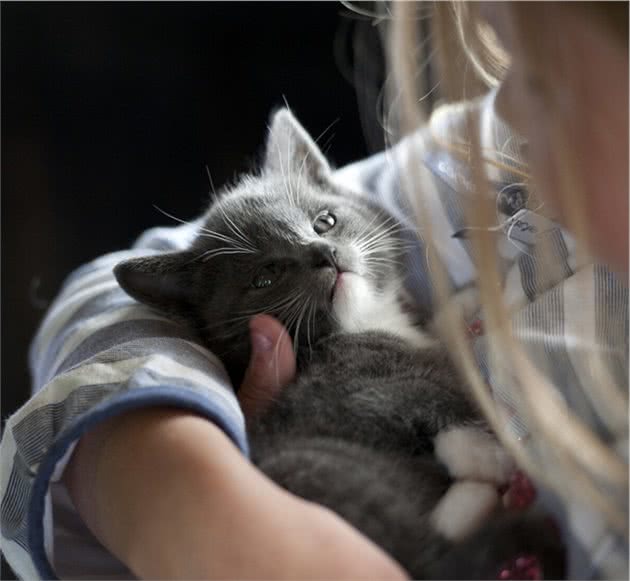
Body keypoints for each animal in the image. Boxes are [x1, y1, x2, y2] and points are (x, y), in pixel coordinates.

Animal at [115, 110, 568, 580]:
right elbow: (411, 392)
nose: (324, 252)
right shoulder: (327, 395)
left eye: (324, 222)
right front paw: (483, 452)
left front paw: (472, 303)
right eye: (266, 276)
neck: (364, 324)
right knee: (420, 551)